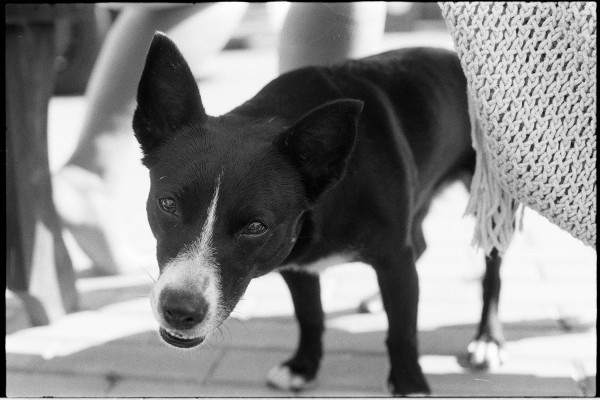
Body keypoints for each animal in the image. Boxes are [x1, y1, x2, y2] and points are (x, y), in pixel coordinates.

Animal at [132, 32, 507, 395]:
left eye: (256, 227)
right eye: (168, 205)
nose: (180, 311)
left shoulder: (393, 258)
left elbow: (402, 329)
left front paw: (410, 385)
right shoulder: (297, 264)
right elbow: (310, 316)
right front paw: (303, 367)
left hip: (493, 204)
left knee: (491, 273)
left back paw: (487, 339)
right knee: (421, 244)